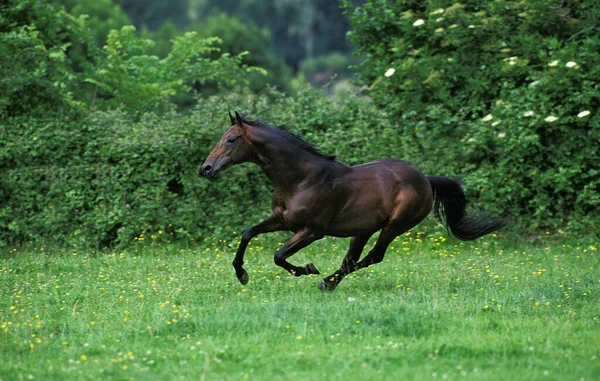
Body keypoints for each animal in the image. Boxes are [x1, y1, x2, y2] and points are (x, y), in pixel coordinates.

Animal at [199, 111, 504, 290]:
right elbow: (248, 233)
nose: (206, 169)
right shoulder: (281, 220)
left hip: (394, 226)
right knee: (353, 259)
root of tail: (426, 180)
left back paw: (325, 281)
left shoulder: (312, 231)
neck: (300, 178)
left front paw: (306, 269)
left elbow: (279, 255)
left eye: (231, 140)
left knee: (372, 257)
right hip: (363, 229)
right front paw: (242, 274)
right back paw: (330, 283)